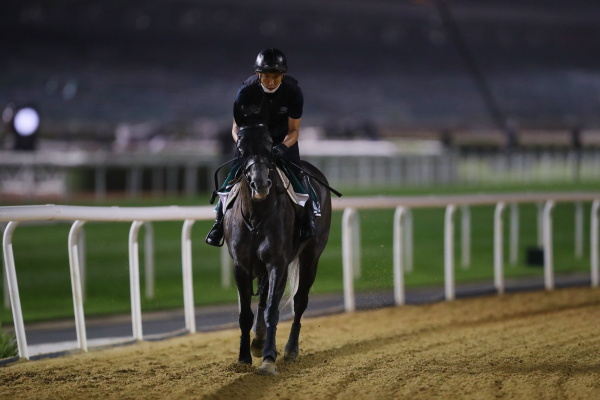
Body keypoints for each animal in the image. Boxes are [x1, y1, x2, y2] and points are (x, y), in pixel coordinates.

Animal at [223, 124, 332, 376]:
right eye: (241, 148)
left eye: (270, 145)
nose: (260, 184)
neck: (256, 216)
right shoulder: (241, 266)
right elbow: (246, 314)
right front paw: (243, 358)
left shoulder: (277, 263)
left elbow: (272, 309)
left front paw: (269, 360)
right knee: (262, 300)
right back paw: (258, 340)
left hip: (312, 254)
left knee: (300, 300)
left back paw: (290, 349)